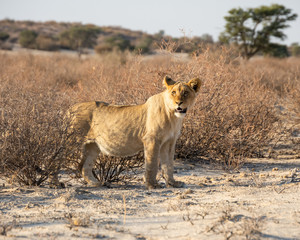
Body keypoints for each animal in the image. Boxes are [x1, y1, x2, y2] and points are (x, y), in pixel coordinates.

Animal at [66, 76, 202, 188]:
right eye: (173, 93)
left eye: (185, 93)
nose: (179, 103)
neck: (173, 116)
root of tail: (69, 108)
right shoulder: (151, 139)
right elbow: (152, 163)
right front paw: (152, 185)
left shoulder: (169, 142)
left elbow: (169, 164)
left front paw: (173, 183)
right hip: (73, 143)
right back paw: (61, 184)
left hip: (93, 146)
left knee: (84, 167)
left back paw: (96, 183)